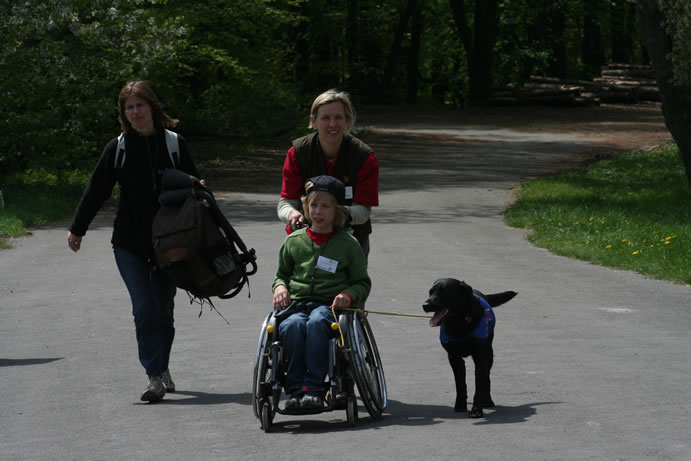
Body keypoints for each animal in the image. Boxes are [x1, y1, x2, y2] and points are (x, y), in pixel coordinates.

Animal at [422, 278, 517, 418]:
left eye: (444, 292)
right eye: (430, 292)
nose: (425, 305)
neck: (459, 323)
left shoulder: (480, 358)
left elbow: (480, 384)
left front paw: (477, 410)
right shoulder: (454, 358)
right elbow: (460, 384)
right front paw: (460, 405)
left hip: (489, 354)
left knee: (487, 378)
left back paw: (487, 400)